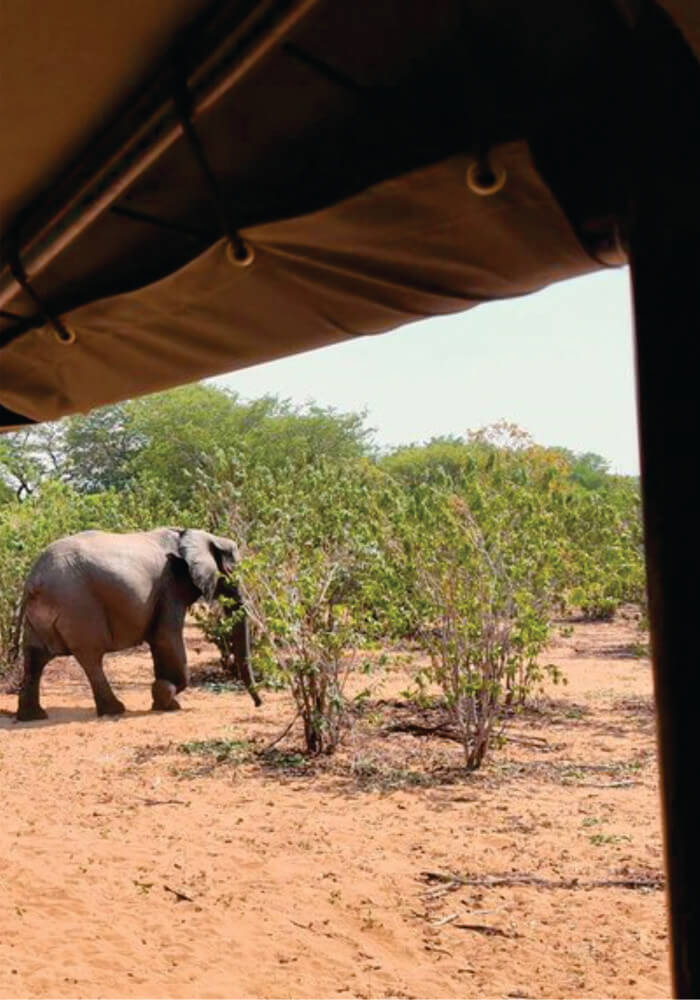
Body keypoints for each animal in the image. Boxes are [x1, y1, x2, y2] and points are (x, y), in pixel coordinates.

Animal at [15, 528, 262, 724]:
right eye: (233, 571)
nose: (259, 705)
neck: (194, 534)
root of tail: (33, 581)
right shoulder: (170, 585)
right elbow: (166, 636)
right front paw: (166, 697)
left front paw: (164, 699)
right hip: (78, 607)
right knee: (90, 657)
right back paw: (115, 710)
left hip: (42, 615)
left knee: (35, 657)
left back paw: (32, 716)